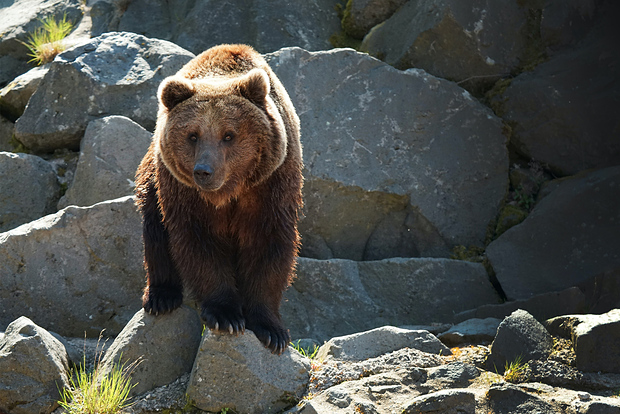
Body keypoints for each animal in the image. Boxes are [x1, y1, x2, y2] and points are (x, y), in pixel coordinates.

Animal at [134, 45, 302, 356]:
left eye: (229, 135)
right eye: (193, 135)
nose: (204, 170)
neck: (228, 192)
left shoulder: (271, 186)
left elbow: (269, 246)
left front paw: (272, 330)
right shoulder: (186, 195)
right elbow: (199, 244)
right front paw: (226, 315)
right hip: (154, 177)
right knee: (155, 228)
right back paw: (162, 296)